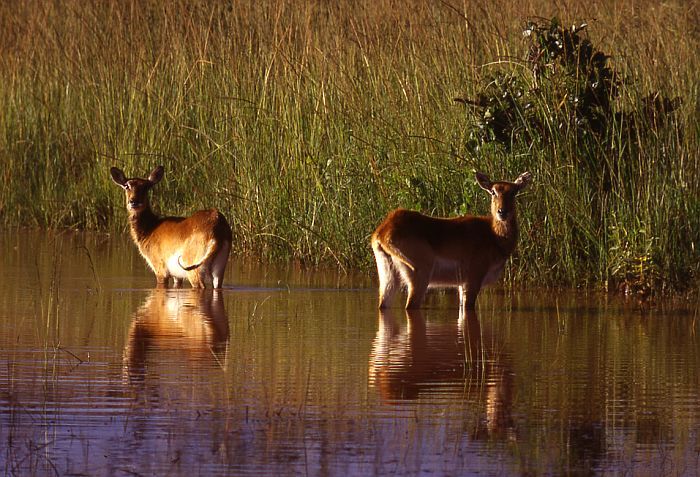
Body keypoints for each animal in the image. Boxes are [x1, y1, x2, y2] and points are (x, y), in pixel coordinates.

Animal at [372, 170, 532, 308]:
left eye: (514, 191)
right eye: (493, 191)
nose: (502, 212)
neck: (494, 236)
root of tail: (383, 232)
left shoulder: (461, 285)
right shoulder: (473, 278)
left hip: (388, 276)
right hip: (420, 275)